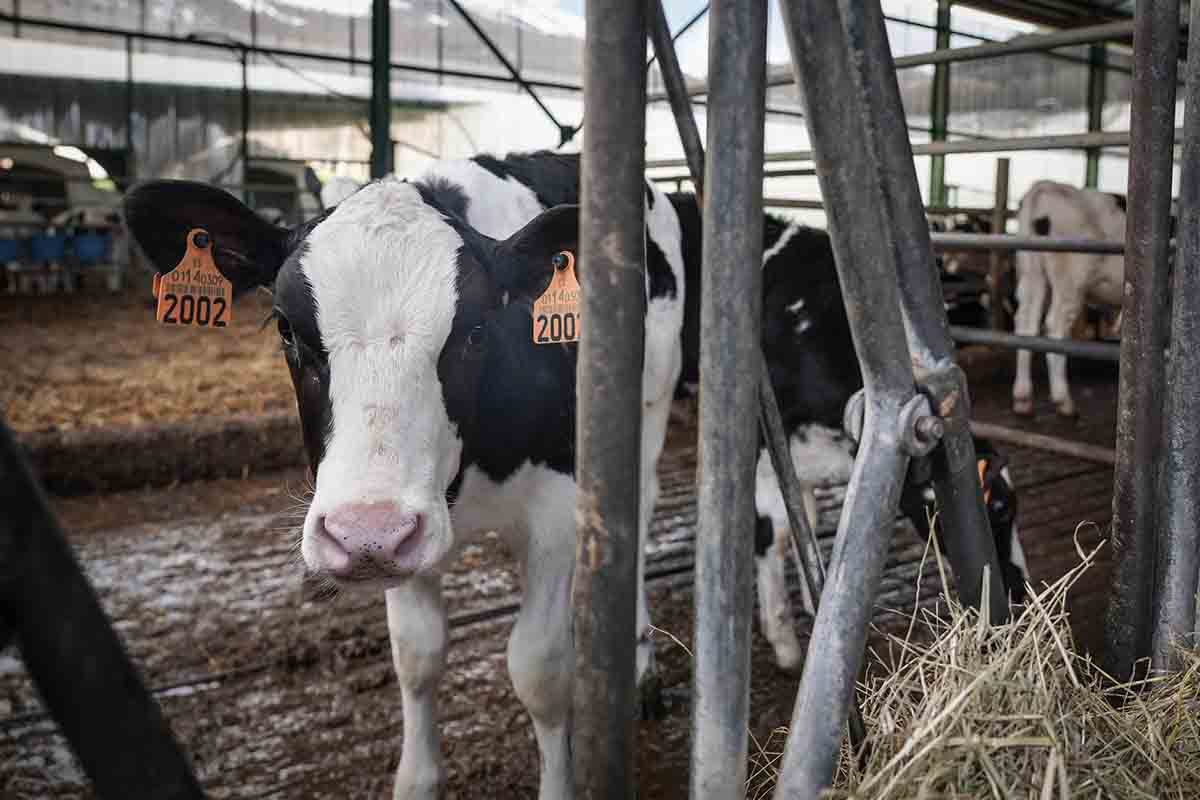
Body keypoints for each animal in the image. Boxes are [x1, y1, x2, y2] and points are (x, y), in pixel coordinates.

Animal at [124, 158, 686, 800]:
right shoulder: (396, 543)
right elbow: (417, 654)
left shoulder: (555, 510)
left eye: (476, 330)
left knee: (637, 513)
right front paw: (417, 778)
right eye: (286, 328)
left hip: (651, 403)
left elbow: (540, 670)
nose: (364, 532)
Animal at [676, 196, 1032, 671]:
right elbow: (778, 532)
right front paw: (784, 641)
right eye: (998, 509)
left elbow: (808, 524)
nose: (1021, 595)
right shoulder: (764, 443)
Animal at [1012, 181, 1123, 419]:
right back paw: (1063, 401)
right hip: (1070, 280)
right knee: (1055, 326)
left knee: (1026, 324)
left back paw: (1022, 398)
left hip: (1031, 272)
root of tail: (1044, 187)